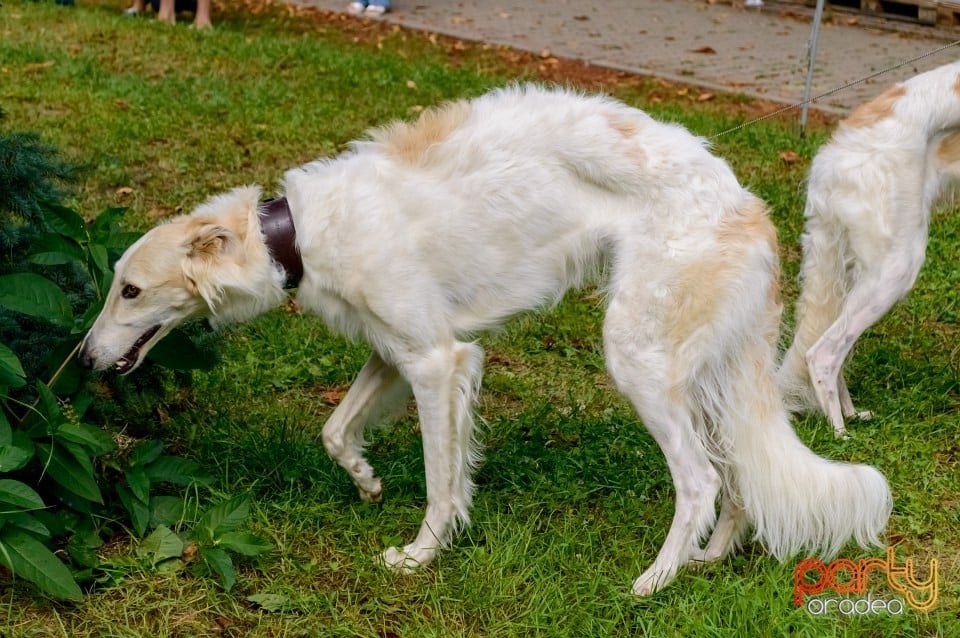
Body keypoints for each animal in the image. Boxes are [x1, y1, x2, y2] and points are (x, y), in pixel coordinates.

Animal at [77, 84, 892, 596]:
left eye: (131, 290)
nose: (83, 359)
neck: (296, 235)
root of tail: (748, 208)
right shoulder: (396, 351)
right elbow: (335, 431)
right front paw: (367, 482)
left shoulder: (439, 362)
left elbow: (443, 482)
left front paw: (419, 556)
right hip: (703, 371)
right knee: (735, 475)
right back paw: (707, 560)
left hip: (638, 358)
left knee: (699, 480)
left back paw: (655, 580)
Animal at [780, 61, 960, 440]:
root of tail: (832, 158)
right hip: (895, 268)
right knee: (822, 353)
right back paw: (839, 433)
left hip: (854, 270)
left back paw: (849, 414)